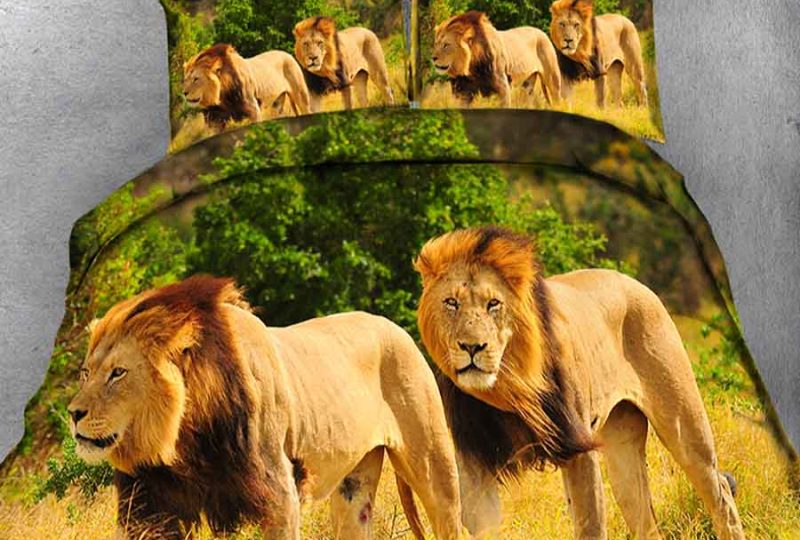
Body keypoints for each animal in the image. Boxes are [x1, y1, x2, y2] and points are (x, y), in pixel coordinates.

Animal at [67, 276, 462, 539]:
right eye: (85, 373)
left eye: (118, 373)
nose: (73, 414)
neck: (183, 444)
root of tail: (395, 326)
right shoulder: (150, 508)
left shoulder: (277, 497)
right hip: (354, 486)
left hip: (434, 465)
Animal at [414, 227, 745, 540]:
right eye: (451, 303)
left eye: (493, 304)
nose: (472, 347)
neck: (507, 386)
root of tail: (636, 283)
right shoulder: (473, 463)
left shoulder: (579, 447)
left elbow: (590, 525)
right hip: (623, 449)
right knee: (646, 522)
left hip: (684, 424)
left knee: (720, 493)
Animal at [432, 11, 561, 108]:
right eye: (436, 44)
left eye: (446, 45)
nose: (433, 58)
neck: (471, 68)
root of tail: (541, 32)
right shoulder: (463, 93)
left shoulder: (503, 89)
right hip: (526, 85)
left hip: (552, 79)